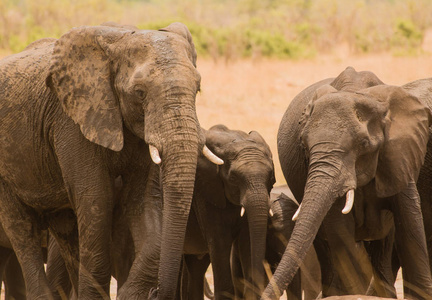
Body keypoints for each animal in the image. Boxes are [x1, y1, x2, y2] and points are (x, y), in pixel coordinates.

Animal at [0, 21, 223, 300]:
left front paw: (130, 294)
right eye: (139, 92)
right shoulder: (72, 120)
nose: (156, 292)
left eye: (198, 88)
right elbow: (96, 199)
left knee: (66, 229)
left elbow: (142, 201)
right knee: (22, 228)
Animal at [262, 67, 432, 298]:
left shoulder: (399, 155)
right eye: (304, 146)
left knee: (382, 250)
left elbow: (411, 228)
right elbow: (340, 233)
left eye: (364, 143)